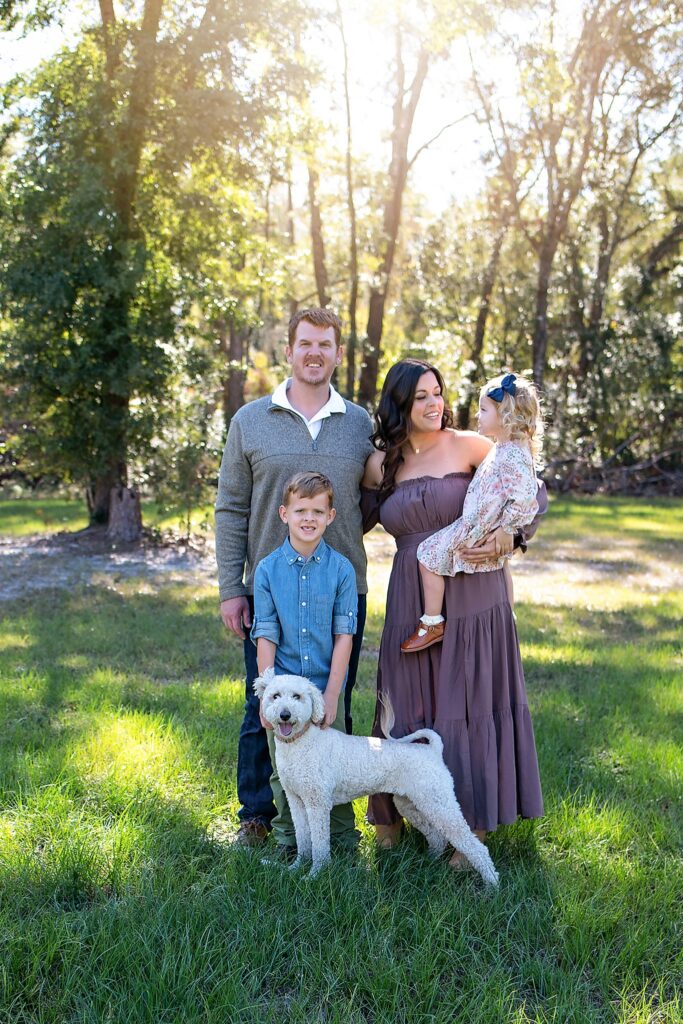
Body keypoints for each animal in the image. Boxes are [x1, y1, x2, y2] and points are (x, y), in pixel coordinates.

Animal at [253, 667, 499, 884]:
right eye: (275, 696)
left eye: (297, 696)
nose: (285, 715)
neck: (300, 743)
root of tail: (433, 750)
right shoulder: (296, 801)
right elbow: (303, 839)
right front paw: (296, 868)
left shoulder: (317, 804)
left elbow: (319, 844)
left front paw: (315, 875)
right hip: (411, 803)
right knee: (436, 836)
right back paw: (429, 861)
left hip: (439, 803)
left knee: (473, 844)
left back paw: (491, 884)